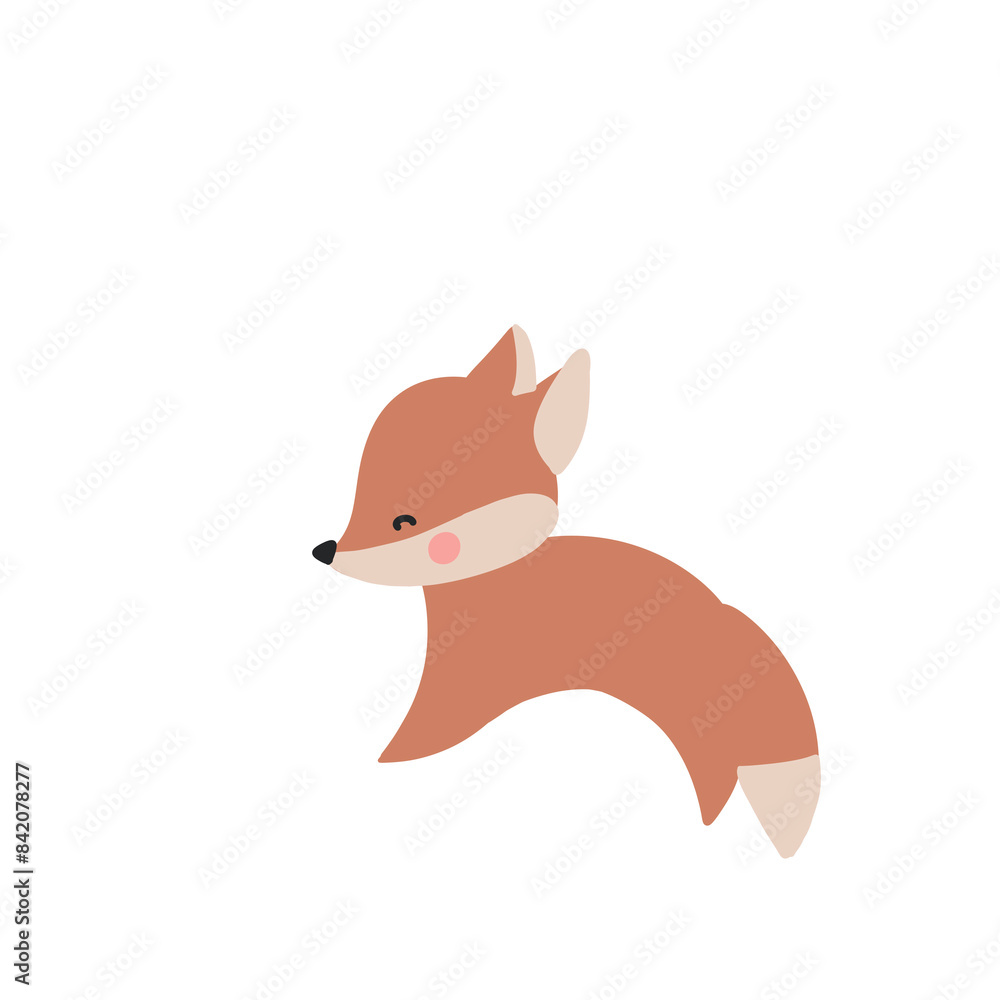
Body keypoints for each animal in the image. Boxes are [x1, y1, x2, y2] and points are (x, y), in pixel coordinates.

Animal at [313, 327, 820, 857]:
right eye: (360, 497)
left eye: (404, 520)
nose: (326, 551)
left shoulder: (463, 680)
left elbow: (423, 729)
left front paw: (396, 755)